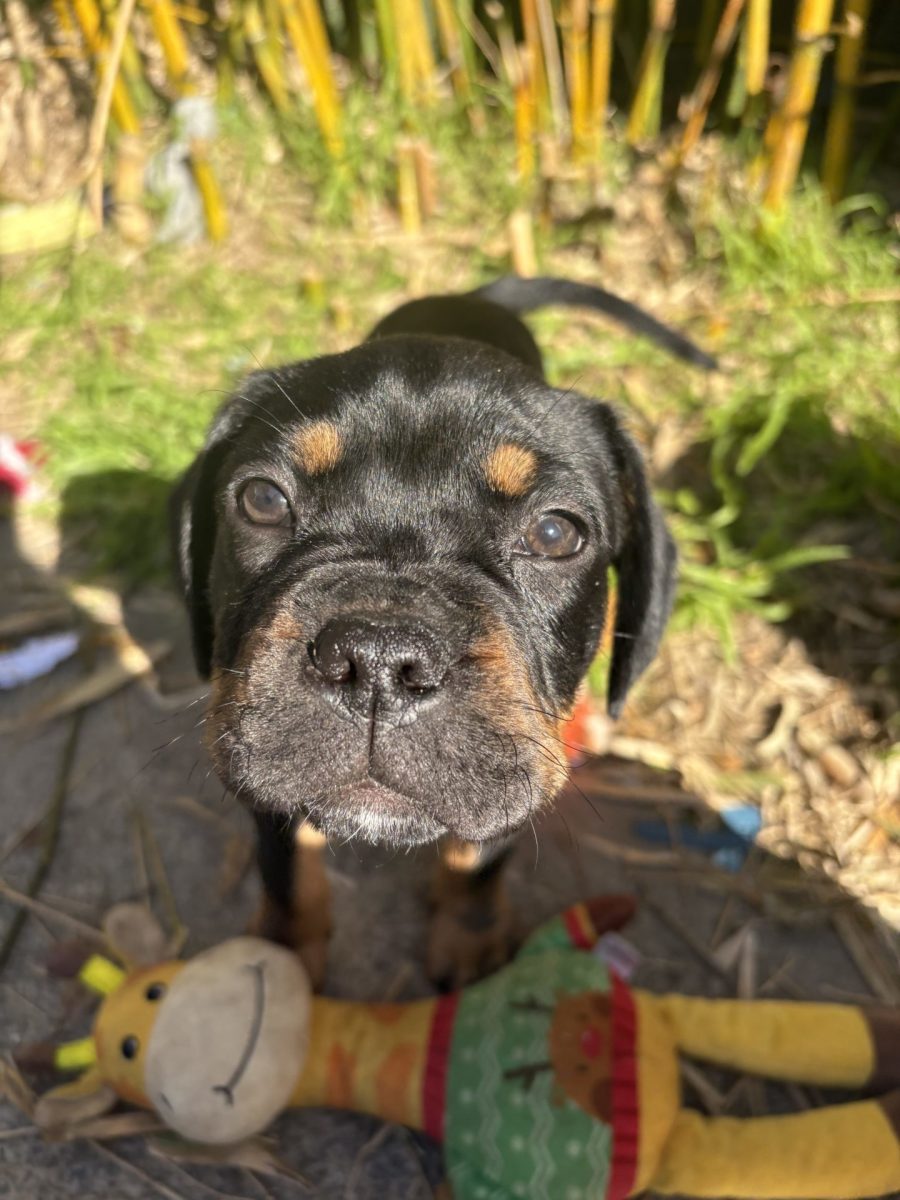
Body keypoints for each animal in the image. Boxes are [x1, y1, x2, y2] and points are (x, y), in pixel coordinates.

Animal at [170, 276, 714, 986]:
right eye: (262, 500)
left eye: (555, 533)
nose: (377, 657)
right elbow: (285, 872)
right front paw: (282, 954)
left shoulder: (519, 763)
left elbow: (477, 863)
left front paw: (471, 943)